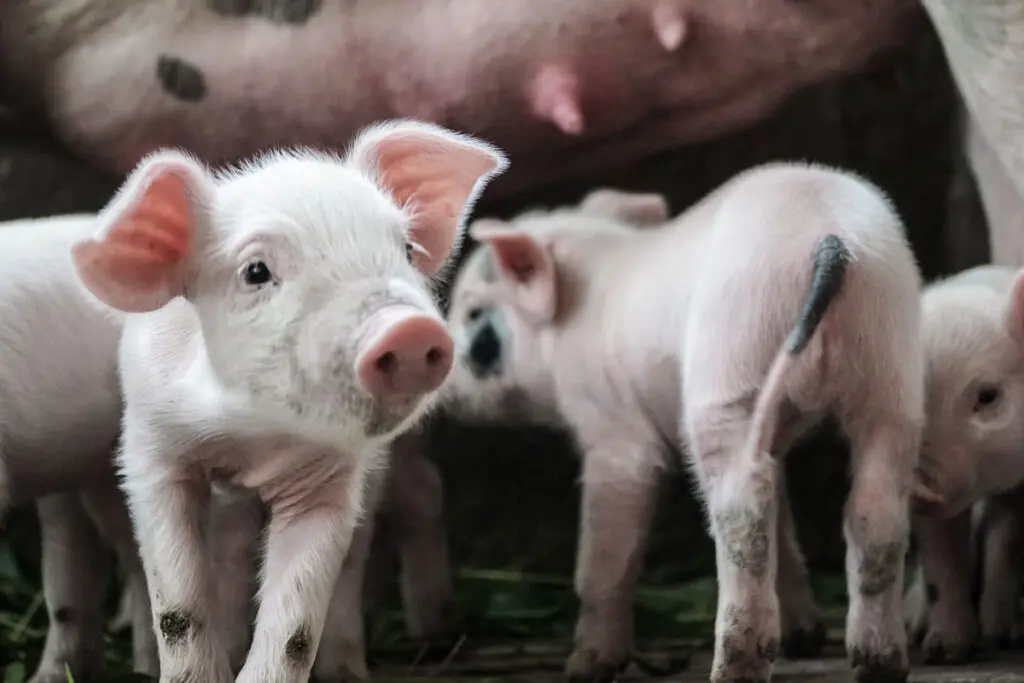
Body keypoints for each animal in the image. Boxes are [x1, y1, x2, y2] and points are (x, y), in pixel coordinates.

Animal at [67, 118, 506, 683]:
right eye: (256, 271)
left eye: (406, 250)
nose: (407, 329)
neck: (251, 438)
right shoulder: (152, 454)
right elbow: (179, 609)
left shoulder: (329, 481)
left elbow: (296, 629)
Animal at [444, 165, 926, 683]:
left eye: (474, 315)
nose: (440, 385)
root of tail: (830, 239)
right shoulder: (774, 436)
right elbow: (784, 525)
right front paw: (805, 639)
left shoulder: (614, 431)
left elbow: (606, 556)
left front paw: (585, 668)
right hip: (889, 365)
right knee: (873, 509)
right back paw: (878, 665)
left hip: (730, 368)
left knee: (743, 513)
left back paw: (731, 671)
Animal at [901, 264, 1024, 663]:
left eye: (987, 395)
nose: (919, 481)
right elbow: (942, 559)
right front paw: (944, 653)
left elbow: (1007, 541)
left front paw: (1000, 637)